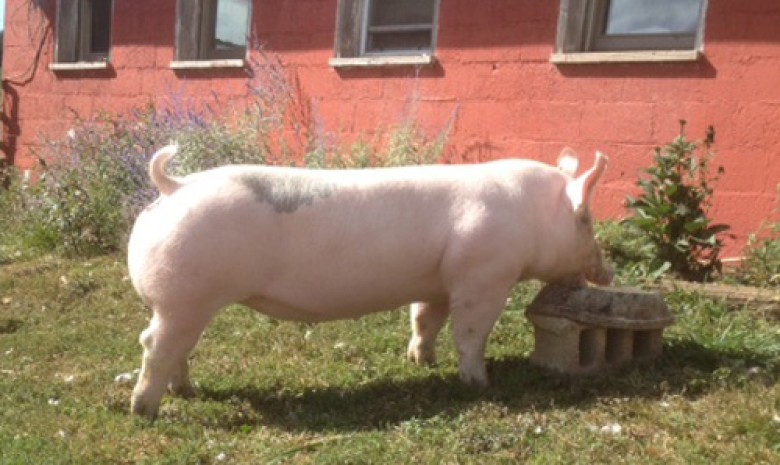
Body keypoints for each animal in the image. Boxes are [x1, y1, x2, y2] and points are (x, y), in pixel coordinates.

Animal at [128, 145, 612, 416]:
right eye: (585, 220)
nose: (606, 273)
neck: (531, 217)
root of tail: (175, 187)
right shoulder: (482, 276)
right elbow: (471, 333)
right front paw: (480, 383)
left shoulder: (438, 280)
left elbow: (425, 319)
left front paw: (421, 363)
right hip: (183, 297)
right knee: (154, 344)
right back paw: (145, 411)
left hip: (184, 303)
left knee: (176, 347)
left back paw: (186, 391)